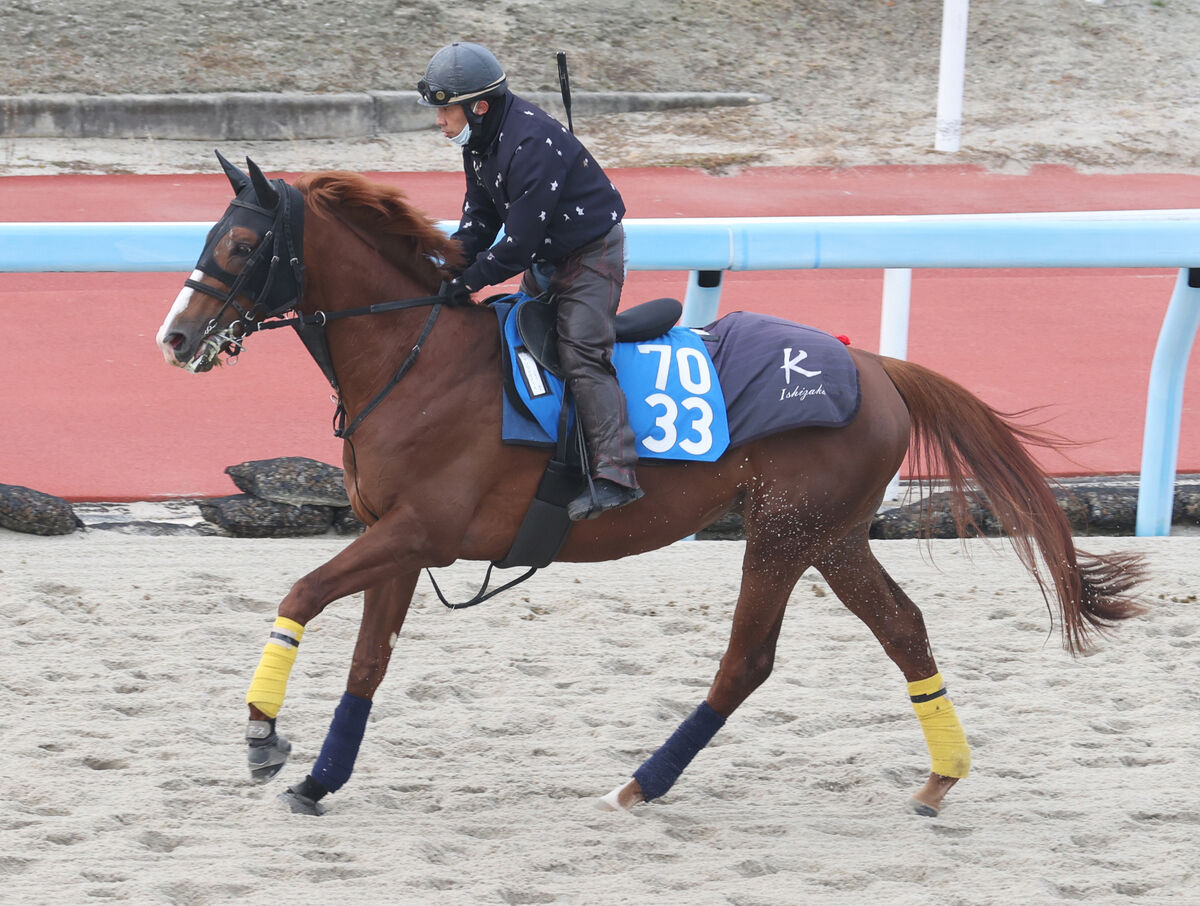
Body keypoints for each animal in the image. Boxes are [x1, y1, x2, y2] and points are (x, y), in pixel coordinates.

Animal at [154, 157, 1147, 820]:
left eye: (240, 242)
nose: (174, 338)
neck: (417, 359)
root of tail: (873, 364)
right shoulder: (393, 537)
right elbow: (367, 659)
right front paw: (318, 775)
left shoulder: (421, 530)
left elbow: (299, 592)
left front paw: (261, 736)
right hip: (834, 535)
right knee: (904, 629)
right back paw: (940, 777)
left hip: (782, 532)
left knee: (748, 660)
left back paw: (642, 782)